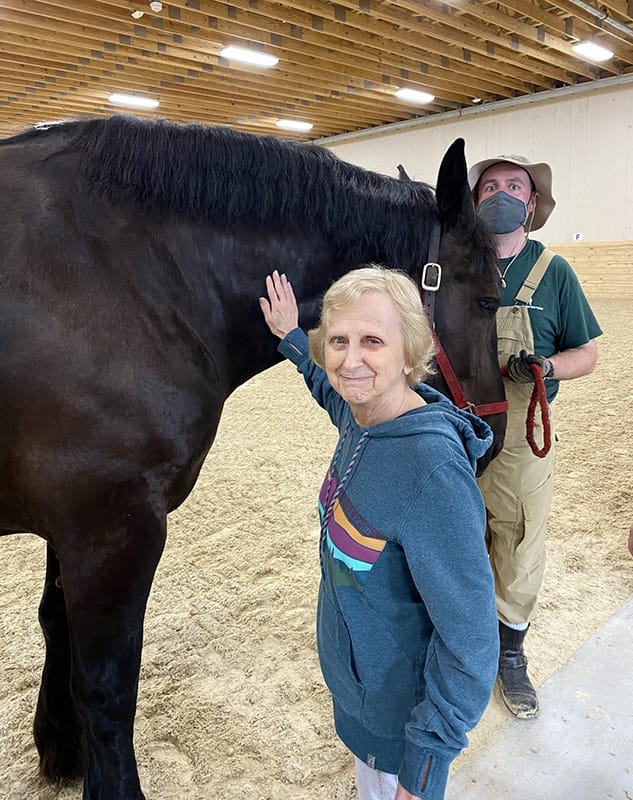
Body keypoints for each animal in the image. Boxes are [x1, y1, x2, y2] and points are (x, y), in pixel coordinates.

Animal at [0, 115, 505, 800]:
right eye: (485, 300)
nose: (496, 432)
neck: (121, 279)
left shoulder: (75, 525)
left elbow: (56, 625)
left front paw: (60, 744)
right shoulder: (112, 530)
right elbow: (108, 689)